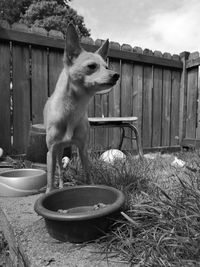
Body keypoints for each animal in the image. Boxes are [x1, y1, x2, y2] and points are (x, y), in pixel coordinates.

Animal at [43, 24, 119, 193]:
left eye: (107, 67)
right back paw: (61, 185)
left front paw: (91, 187)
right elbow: (50, 178)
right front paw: (50, 191)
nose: (116, 75)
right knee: (59, 169)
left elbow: (88, 174)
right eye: (91, 66)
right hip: (58, 152)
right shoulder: (51, 151)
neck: (72, 109)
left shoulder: (83, 149)